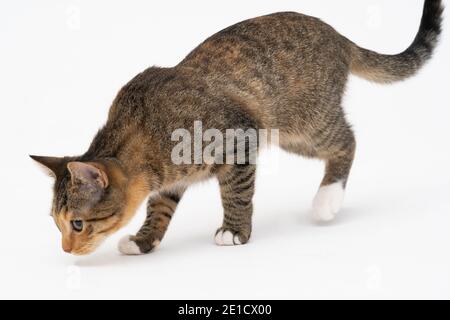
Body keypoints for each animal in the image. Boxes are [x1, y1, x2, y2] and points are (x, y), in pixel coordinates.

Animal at [30, 0, 442, 255]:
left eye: (77, 225)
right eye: (56, 224)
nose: (65, 249)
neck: (142, 130)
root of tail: (339, 36)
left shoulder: (239, 137)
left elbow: (236, 192)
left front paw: (234, 230)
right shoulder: (172, 177)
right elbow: (160, 206)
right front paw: (145, 240)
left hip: (304, 124)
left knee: (348, 140)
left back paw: (328, 198)